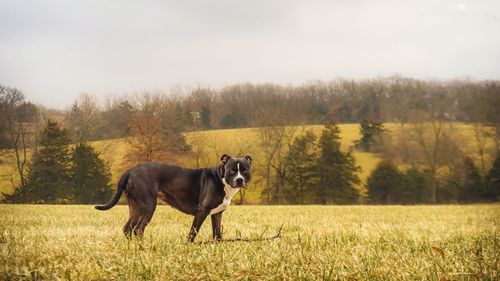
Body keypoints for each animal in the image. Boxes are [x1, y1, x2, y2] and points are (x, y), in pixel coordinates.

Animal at [95, 153, 252, 241]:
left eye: (244, 170)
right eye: (232, 170)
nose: (239, 180)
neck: (221, 178)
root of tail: (131, 170)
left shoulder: (217, 214)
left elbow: (217, 234)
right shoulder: (202, 211)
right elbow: (193, 232)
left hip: (135, 206)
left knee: (128, 228)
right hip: (148, 206)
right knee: (138, 229)